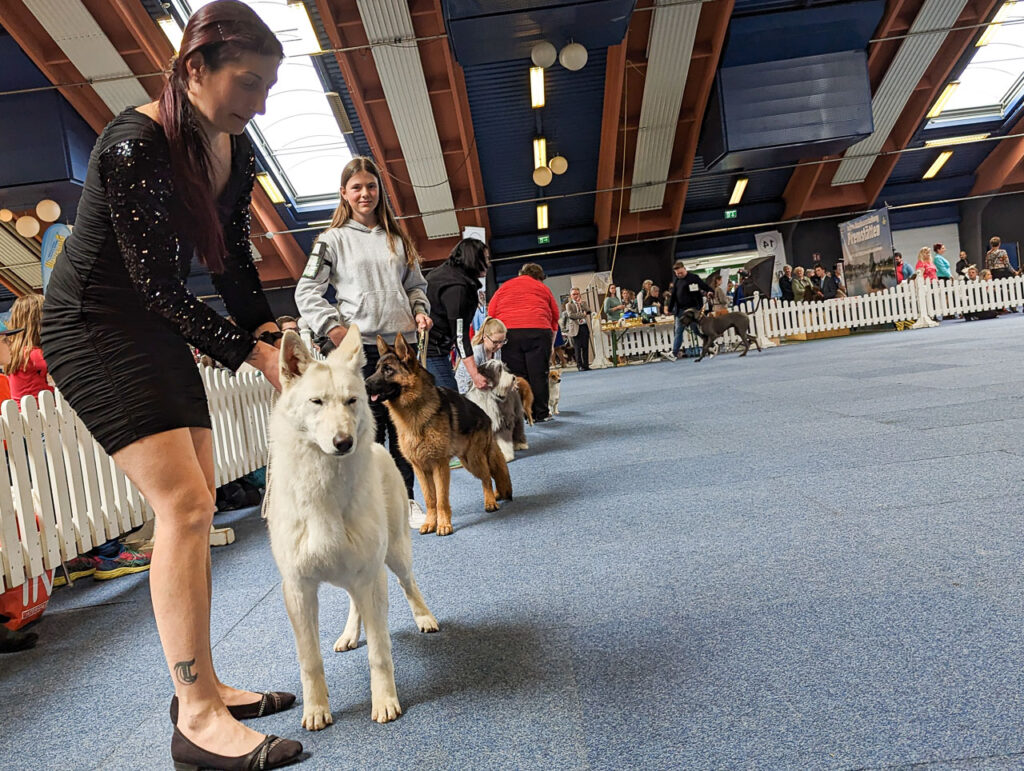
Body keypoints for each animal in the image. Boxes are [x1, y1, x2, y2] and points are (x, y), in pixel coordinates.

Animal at [264, 327, 436, 729]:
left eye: (351, 401)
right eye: (316, 402)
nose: (344, 443)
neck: (326, 487)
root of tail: (380, 447)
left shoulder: (370, 576)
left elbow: (380, 653)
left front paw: (385, 701)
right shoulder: (299, 590)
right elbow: (310, 661)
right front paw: (316, 709)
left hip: (394, 558)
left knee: (409, 585)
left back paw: (424, 617)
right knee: (354, 604)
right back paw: (348, 634)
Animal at [366, 331, 512, 536]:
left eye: (388, 370)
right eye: (377, 369)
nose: (364, 384)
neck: (415, 413)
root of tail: (484, 414)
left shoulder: (439, 466)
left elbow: (441, 499)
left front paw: (443, 525)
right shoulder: (420, 469)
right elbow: (430, 499)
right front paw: (430, 522)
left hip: (473, 460)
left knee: (487, 477)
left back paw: (490, 500)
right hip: (468, 461)